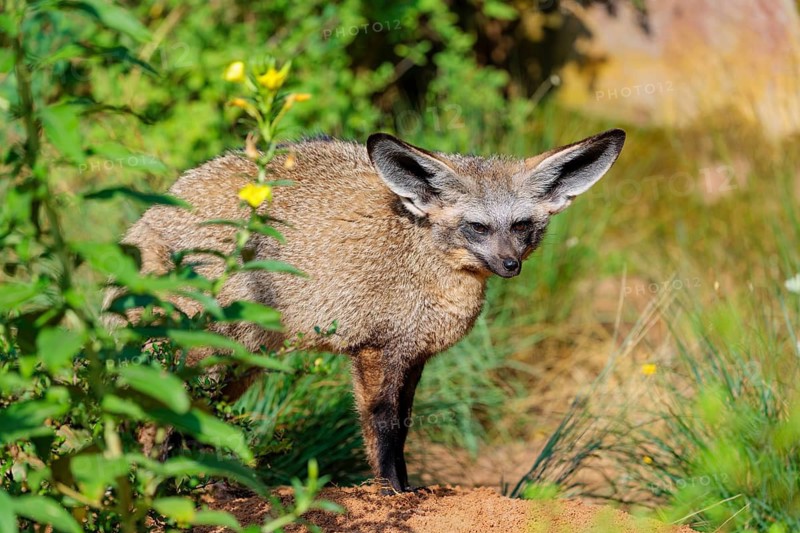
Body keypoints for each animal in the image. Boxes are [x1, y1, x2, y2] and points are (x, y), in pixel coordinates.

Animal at [118, 128, 625, 493]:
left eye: (521, 227)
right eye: (477, 228)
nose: (510, 265)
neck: (422, 265)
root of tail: (146, 219)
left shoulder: (413, 355)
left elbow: (402, 429)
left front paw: (404, 487)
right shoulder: (374, 350)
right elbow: (382, 427)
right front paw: (391, 493)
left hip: (241, 364)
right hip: (213, 356)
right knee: (159, 418)